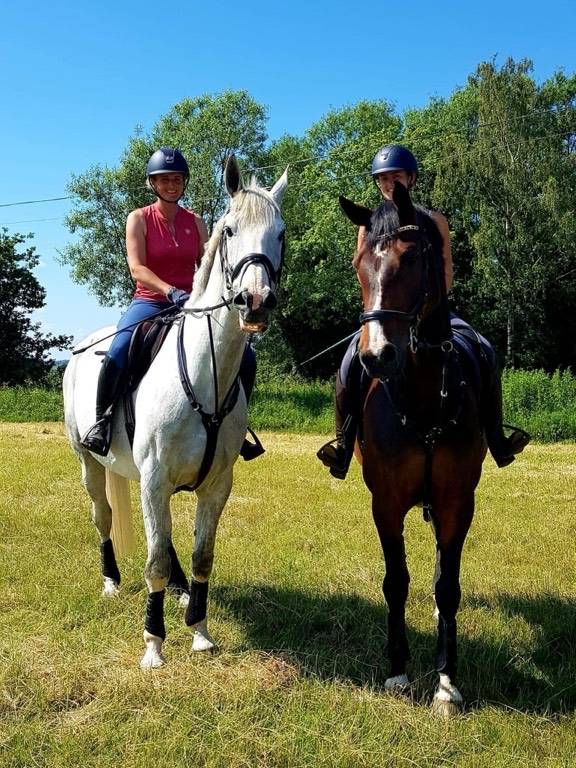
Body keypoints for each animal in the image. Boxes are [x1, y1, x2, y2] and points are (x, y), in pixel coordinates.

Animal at [63, 156, 287, 668]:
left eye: (281, 234)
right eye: (230, 230)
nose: (255, 300)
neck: (205, 375)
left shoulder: (216, 485)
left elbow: (201, 555)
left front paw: (199, 630)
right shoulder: (154, 479)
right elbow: (154, 563)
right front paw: (153, 644)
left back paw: (182, 592)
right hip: (90, 465)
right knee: (103, 517)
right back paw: (110, 582)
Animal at [339, 182, 486, 716]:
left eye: (413, 259)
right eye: (359, 264)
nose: (377, 356)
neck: (421, 396)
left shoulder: (457, 502)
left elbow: (448, 585)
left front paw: (446, 680)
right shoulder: (385, 504)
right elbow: (395, 581)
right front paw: (399, 671)